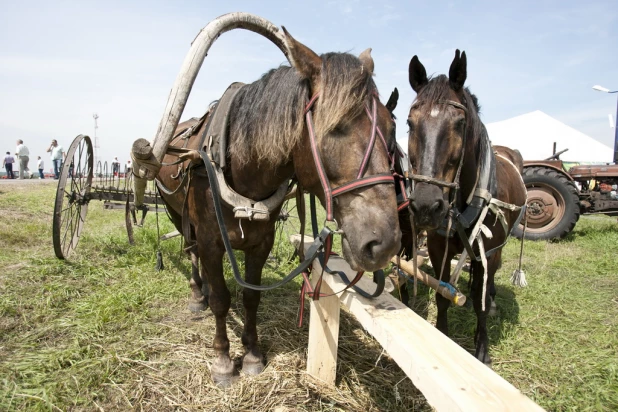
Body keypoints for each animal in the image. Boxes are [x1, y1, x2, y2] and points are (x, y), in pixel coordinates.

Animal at [155, 29, 400, 386]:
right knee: (191, 250)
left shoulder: (262, 243)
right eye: (335, 127)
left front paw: (252, 354)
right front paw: (224, 360)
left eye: (391, 128)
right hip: (175, 211)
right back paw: (197, 294)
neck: (239, 167)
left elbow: (250, 296)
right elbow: (221, 299)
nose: (384, 243)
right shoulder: (212, 241)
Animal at [402, 50, 528, 364]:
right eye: (410, 122)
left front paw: (481, 348)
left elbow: (480, 301)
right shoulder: (438, 248)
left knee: (488, 279)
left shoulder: (487, 250)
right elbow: (442, 294)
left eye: (460, 123)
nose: (426, 205)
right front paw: (443, 335)